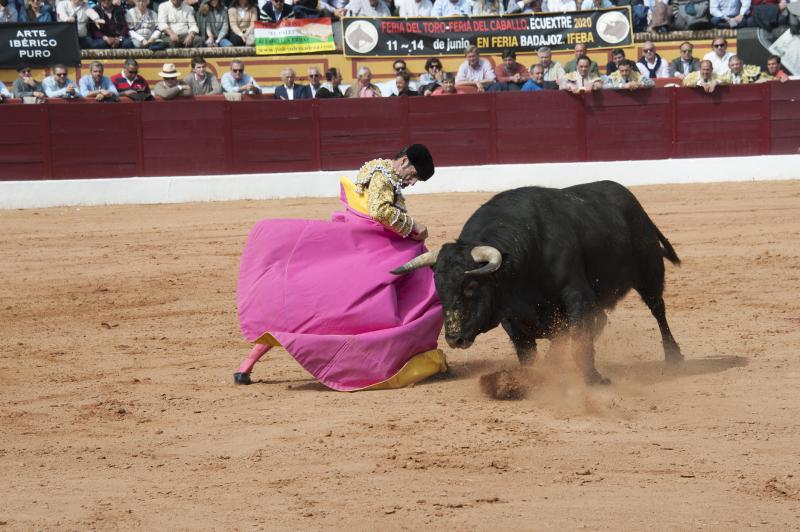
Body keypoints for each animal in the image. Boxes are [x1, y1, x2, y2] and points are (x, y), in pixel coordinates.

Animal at [394, 181, 680, 384]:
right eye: (438, 288)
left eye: (472, 287)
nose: (454, 339)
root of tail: (632, 201)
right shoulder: (510, 314)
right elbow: (528, 353)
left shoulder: (577, 296)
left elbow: (579, 338)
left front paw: (593, 378)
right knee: (601, 320)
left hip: (650, 274)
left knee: (658, 311)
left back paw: (674, 356)